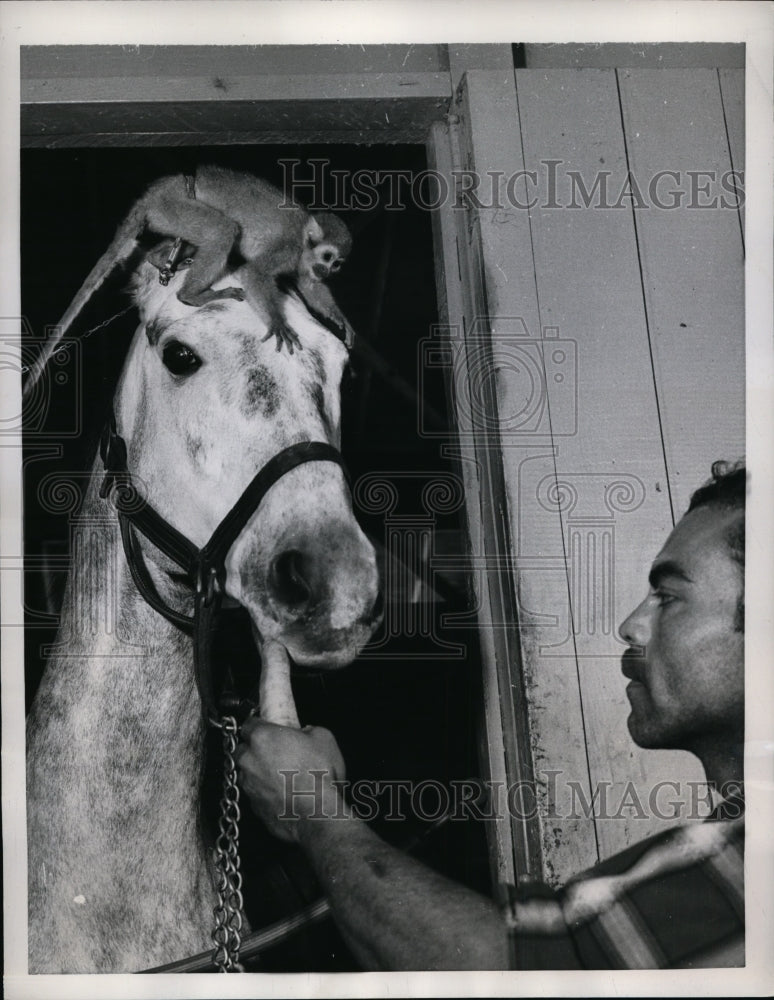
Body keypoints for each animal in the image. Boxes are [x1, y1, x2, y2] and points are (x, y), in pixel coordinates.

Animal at [21, 166, 354, 396]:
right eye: (327, 257)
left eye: (337, 264)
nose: (328, 270)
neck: (303, 243)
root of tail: (155, 193)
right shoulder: (287, 248)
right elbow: (256, 273)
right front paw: (278, 322)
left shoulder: (304, 264)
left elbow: (310, 286)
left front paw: (342, 321)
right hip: (174, 207)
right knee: (222, 230)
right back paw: (193, 295)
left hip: (170, 215)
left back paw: (160, 258)